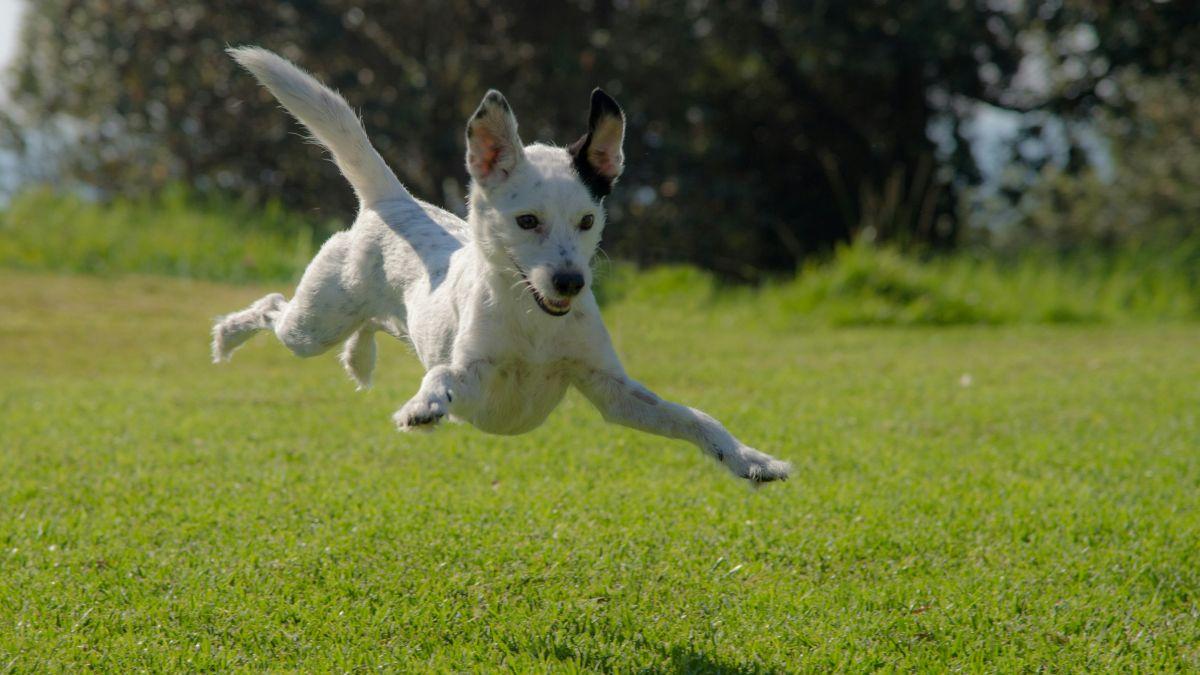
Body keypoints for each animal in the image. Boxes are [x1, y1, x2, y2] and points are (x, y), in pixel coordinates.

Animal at [211, 47, 792, 480]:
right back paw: (228, 337)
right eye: (527, 221)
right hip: (313, 324)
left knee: (368, 325)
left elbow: (695, 418)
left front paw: (750, 460)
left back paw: (359, 358)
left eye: (587, 221)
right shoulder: (475, 375)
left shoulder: (613, 391)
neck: (534, 323)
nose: (570, 282)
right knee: (272, 307)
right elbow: (443, 374)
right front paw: (424, 406)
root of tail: (393, 201)